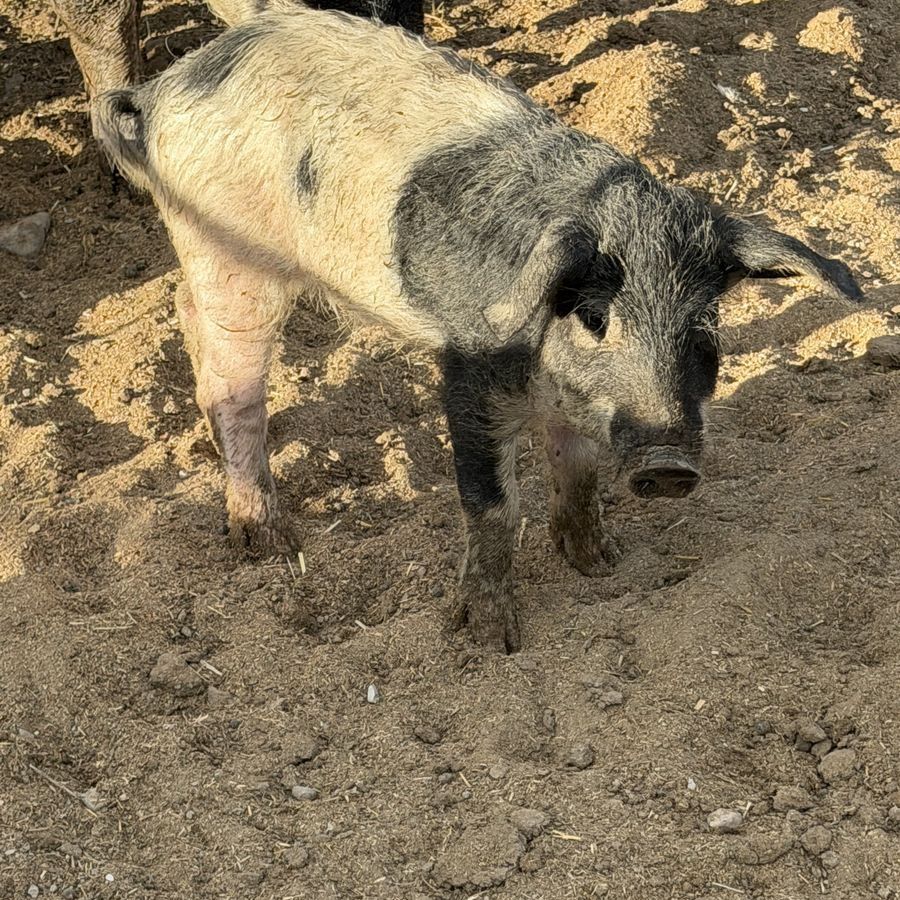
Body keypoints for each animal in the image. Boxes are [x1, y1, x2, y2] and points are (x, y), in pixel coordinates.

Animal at [93, 3, 863, 651]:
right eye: (596, 316)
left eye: (705, 325)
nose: (668, 463)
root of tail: (164, 88)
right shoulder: (470, 367)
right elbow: (492, 503)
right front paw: (488, 640)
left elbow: (579, 473)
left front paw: (599, 565)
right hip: (229, 253)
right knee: (236, 386)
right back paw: (269, 542)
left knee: (190, 318)